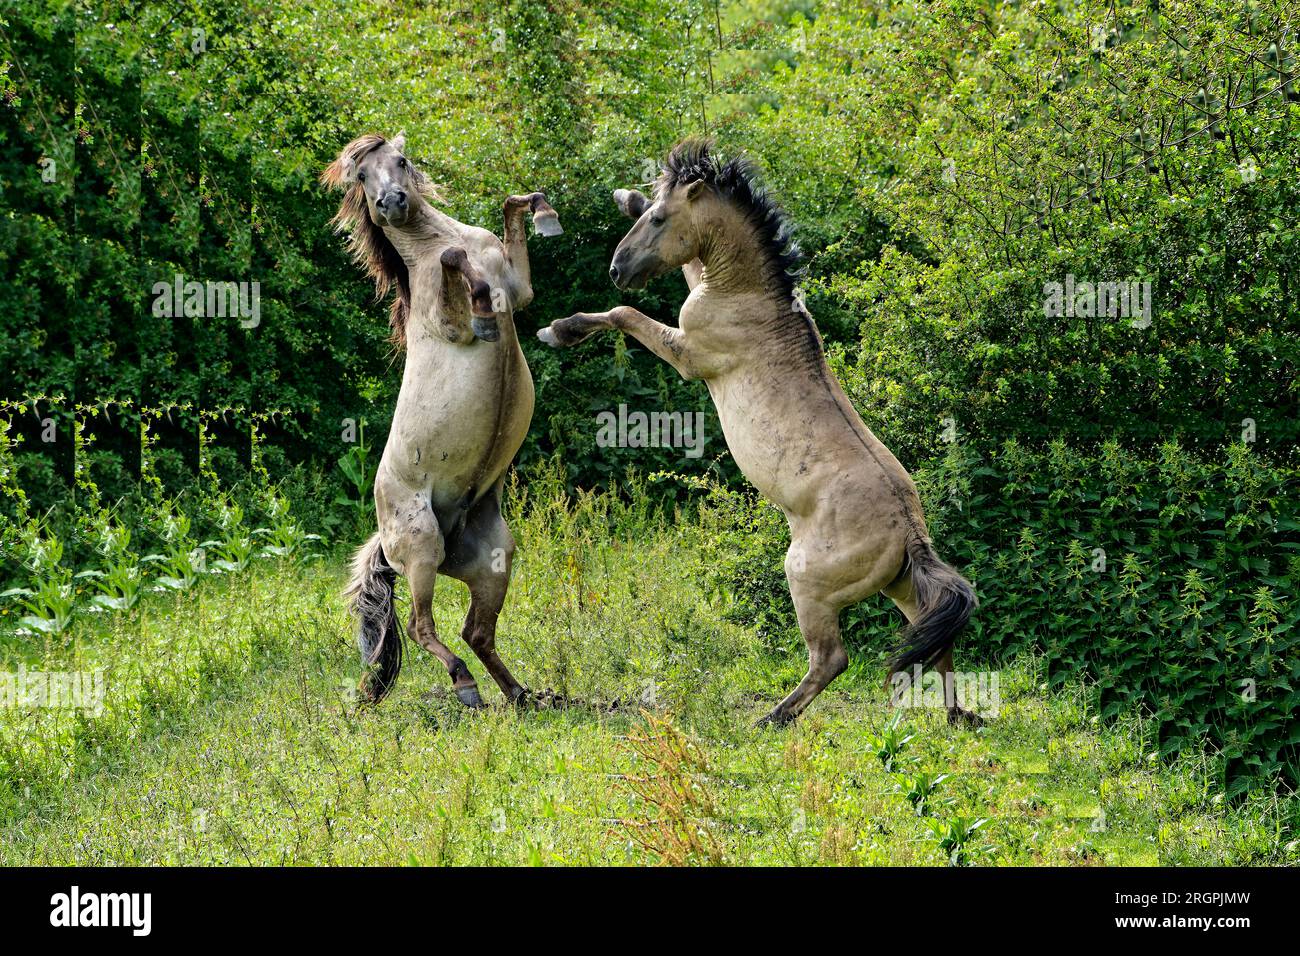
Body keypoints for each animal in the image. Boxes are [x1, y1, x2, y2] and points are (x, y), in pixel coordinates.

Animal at [322, 132, 561, 702]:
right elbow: (459, 266)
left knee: (475, 631)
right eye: (360, 177)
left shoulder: (519, 290)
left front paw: (545, 215)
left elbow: (511, 210)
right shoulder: (455, 324)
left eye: (401, 161)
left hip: (494, 559)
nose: (391, 201)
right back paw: (466, 686)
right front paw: (484, 311)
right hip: (422, 548)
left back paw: (520, 696)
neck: (431, 241)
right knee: (420, 626)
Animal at [535, 140, 977, 723]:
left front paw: (558, 331)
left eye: (660, 220)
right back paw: (954, 718)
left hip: (807, 580)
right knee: (936, 643)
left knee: (832, 658)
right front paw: (622, 194)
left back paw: (771, 717)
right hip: (900, 586)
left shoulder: (688, 354)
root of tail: (910, 533)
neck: (748, 295)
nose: (616, 268)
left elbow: (625, 314)